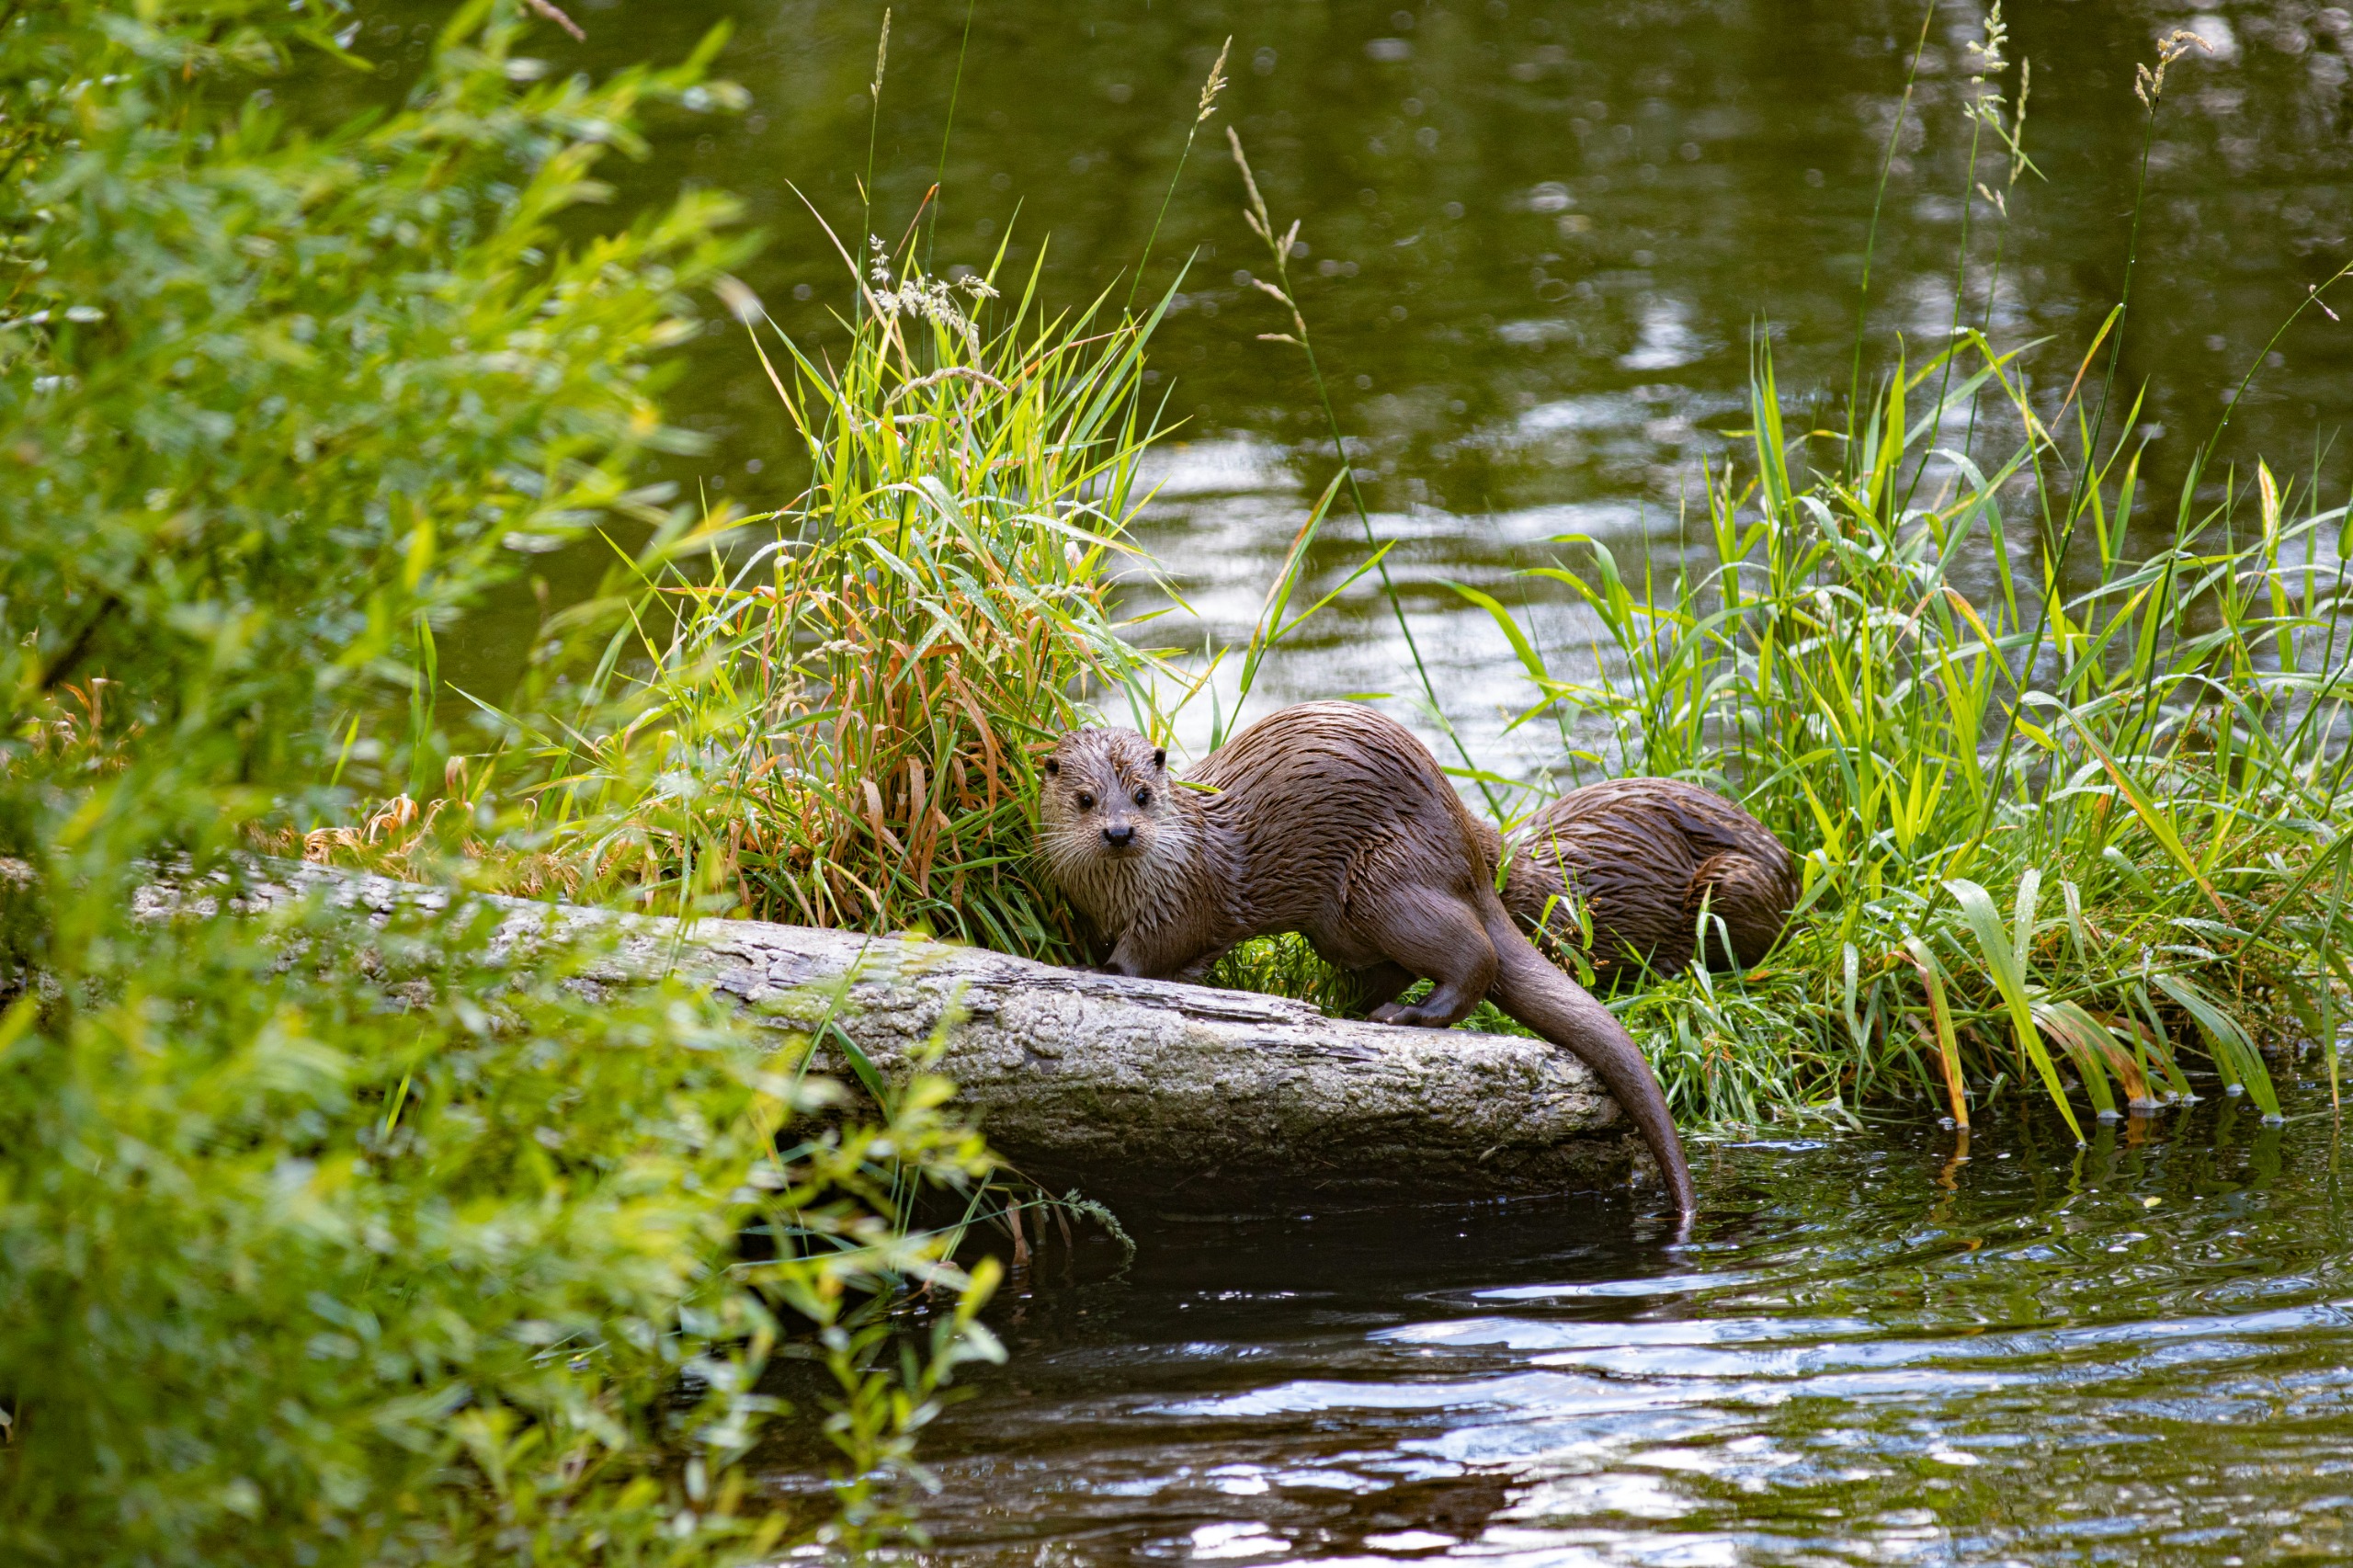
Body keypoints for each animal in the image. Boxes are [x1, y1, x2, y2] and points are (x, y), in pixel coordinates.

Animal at [1036, 702, 1695, 1216]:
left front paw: (1099, 971)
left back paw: (1406, 1015)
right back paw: (1343, 1002)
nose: (1120, 832)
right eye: (1086, 799)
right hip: (1342, 926)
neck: (1124, 889)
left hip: (1383, 880)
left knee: (1474, 954)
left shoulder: (1182, 898)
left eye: (1143, 796)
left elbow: (1153, 950)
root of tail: (1469, 852)